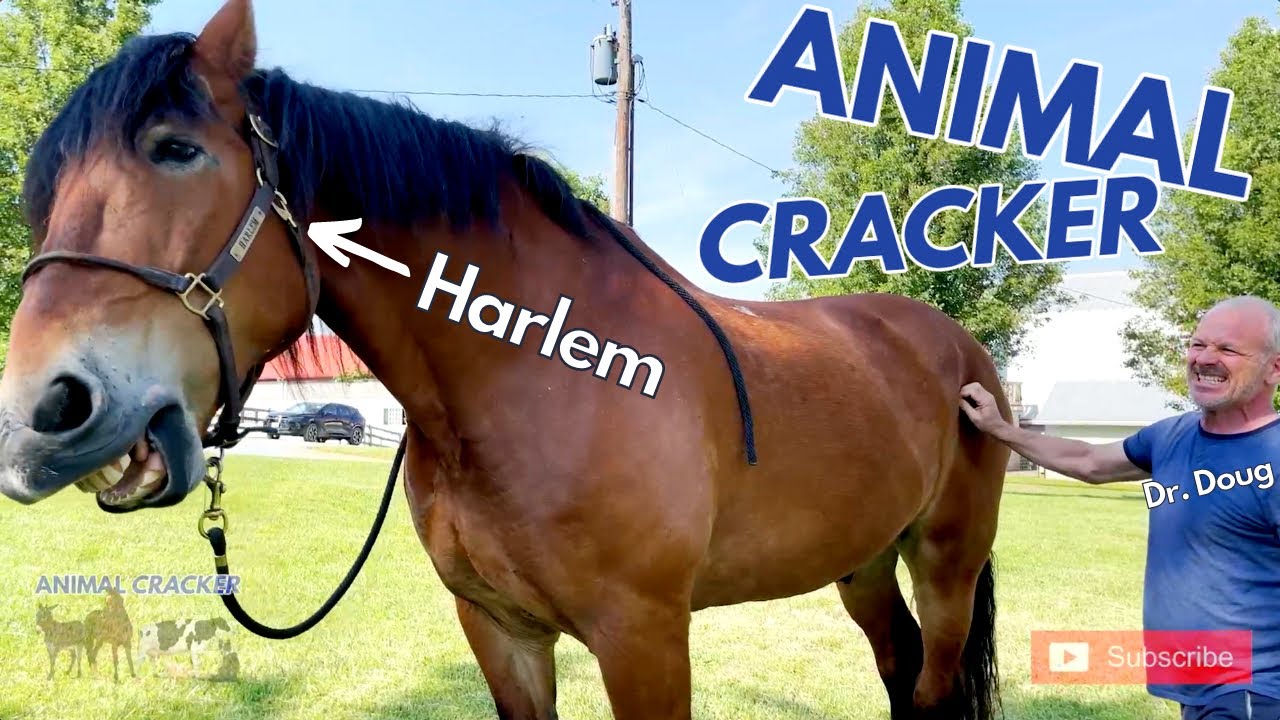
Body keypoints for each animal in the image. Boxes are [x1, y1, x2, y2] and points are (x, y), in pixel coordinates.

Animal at [0, 1, 1012, 718]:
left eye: (176, 150)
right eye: (40, 196)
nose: (39, 418)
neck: (539, 383)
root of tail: (953, 347)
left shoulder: (644, 638)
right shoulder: (501, 631)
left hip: (947, 565)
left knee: (931, 684)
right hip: (865, 562)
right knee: (897, 667)